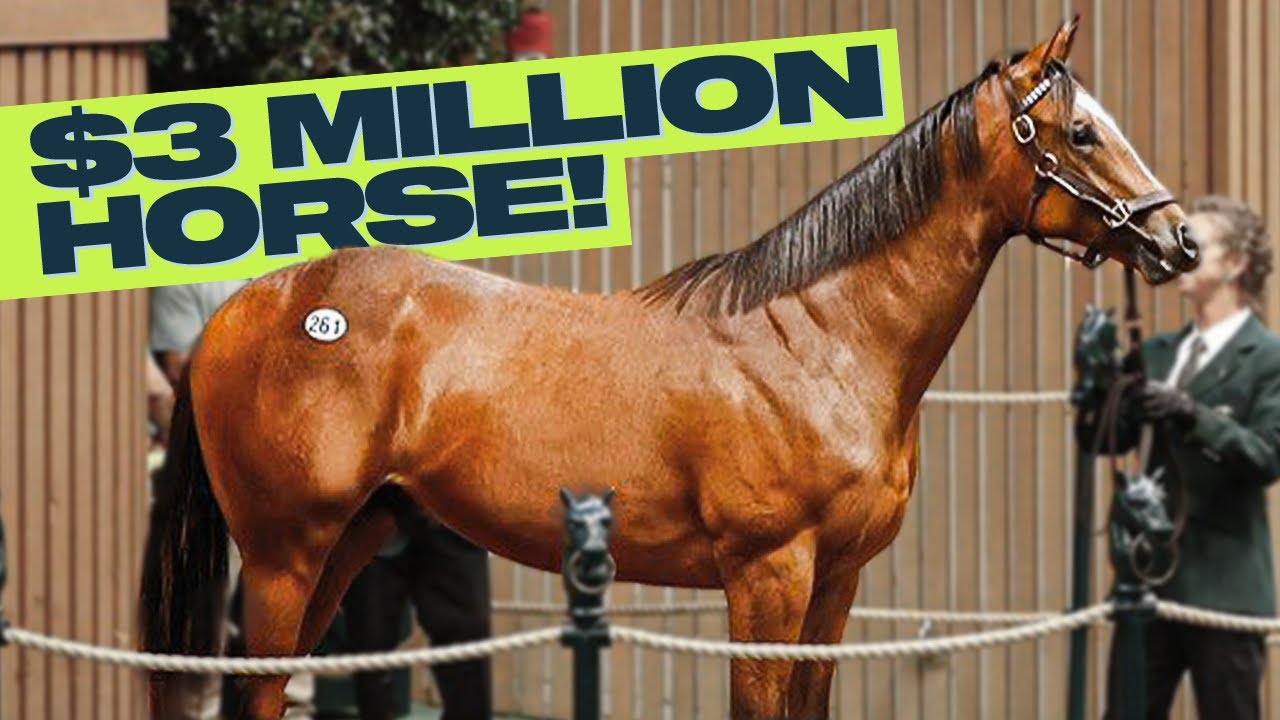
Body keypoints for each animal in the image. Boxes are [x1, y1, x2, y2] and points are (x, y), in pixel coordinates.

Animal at [139, 17, 1200, 719]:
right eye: (1079, 133)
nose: (1180, 240)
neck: (820, 336)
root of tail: (247, 304)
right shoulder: (767, 576)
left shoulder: (837, 584)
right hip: (284, 555)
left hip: (347, 541)